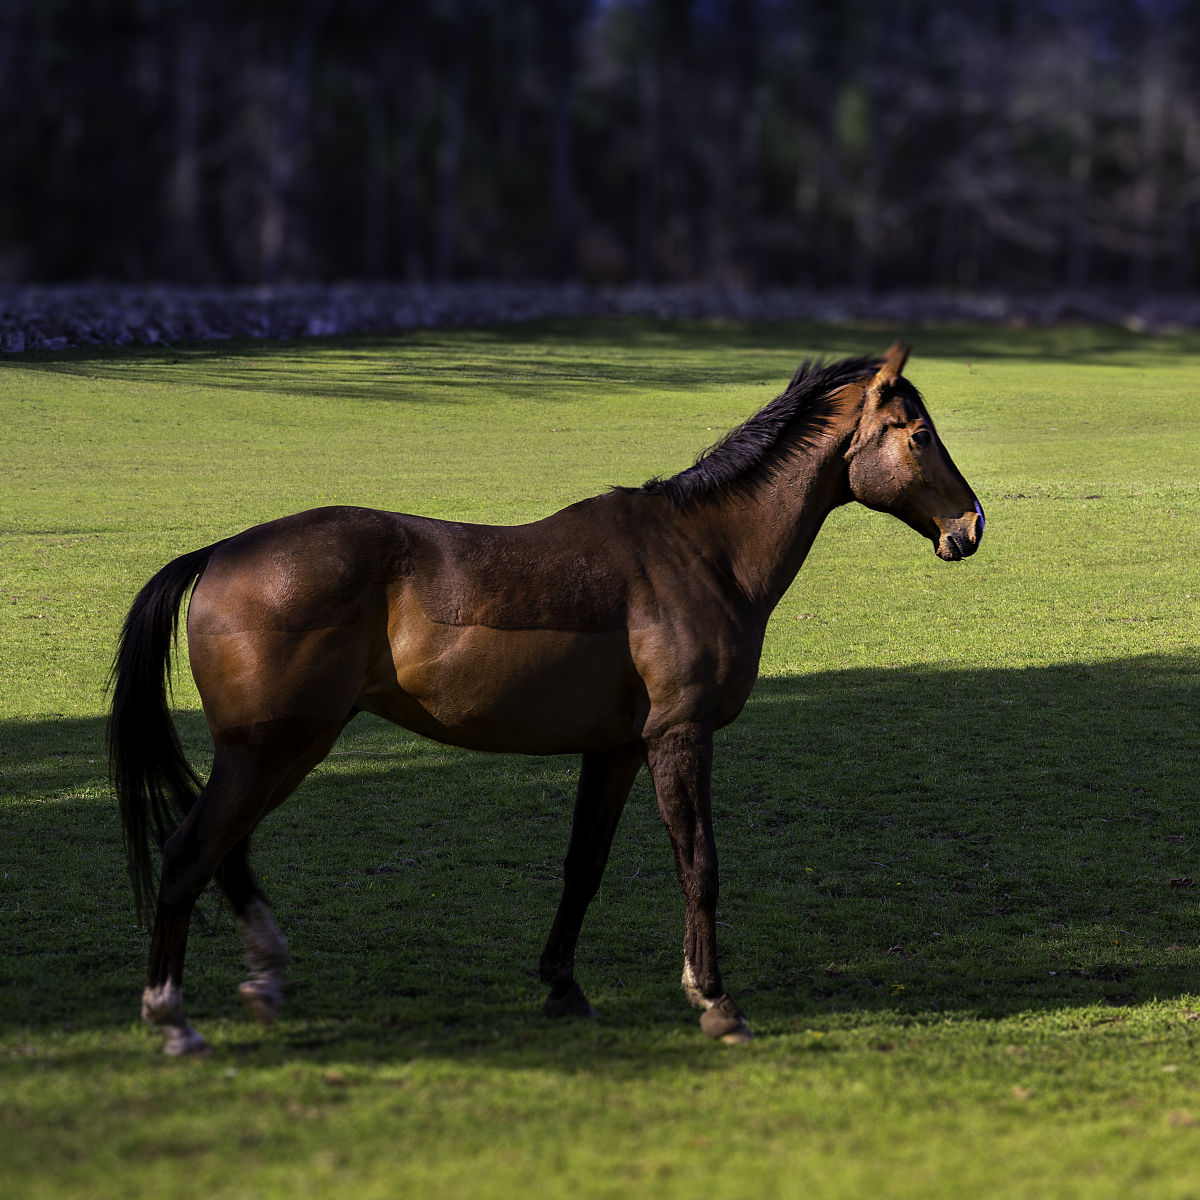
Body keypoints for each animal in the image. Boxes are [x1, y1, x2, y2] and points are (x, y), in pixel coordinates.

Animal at [109, 342, 983, 1055]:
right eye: (918, 434)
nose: (971, 525)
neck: (701, 553)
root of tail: (223, 551)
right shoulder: (679, 737)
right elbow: (698, 864)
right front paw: (715, 1002)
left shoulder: (617, 749)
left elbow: (582, 866)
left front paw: (563, 985)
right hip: (274, 749)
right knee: (191, 851)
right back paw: (172, 1017)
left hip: (275, 751)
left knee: (223, 851)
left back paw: (261, 974)